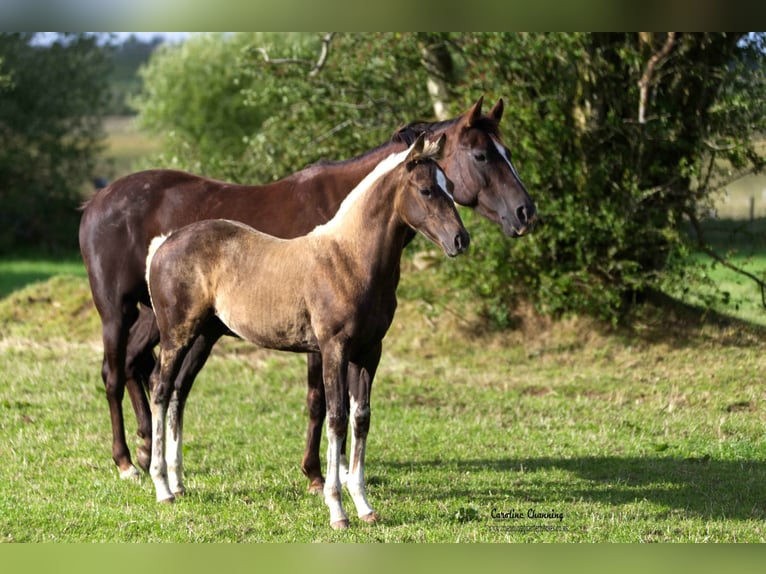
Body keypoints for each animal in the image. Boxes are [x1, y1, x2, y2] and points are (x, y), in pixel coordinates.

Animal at [76, 97, 536, 488]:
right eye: (482, 155)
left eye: (508, 151)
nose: (526, 212)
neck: (342, 219)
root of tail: (96, 200)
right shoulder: (322, 343)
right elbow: (321, 401)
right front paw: (319, 475)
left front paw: (344, 475)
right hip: (118, 313)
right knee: (115, 373)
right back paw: (126, 462)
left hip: (173, 324)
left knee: (146, 371)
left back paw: (147, 451)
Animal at [144, 135, 468, 532]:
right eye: (425, 190)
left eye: (449, 186)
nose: (461, 240)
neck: (349, 259)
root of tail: (164, 244)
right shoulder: (333, 349)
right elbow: (336, 418)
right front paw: (337, 510)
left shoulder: (369, 352)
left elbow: (361, 419)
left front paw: (365, 506)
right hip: (176, 335)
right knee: (160, 388)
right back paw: (162, 487)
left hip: (204, 336)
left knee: (178, 391)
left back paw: (178, 482)